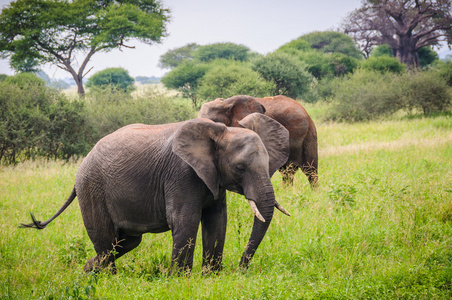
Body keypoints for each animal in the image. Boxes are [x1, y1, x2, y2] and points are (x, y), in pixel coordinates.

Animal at [20, 113, 290, 274]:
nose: (241, 269)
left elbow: (217, 220)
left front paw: (211, 277)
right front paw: (182, 280)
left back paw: (87, 271)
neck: (220, 131)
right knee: (106, 241)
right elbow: (185, 221)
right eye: (240, 168)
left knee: (126, 242)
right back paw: (107, 280)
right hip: (92, 188)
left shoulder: (213, 178)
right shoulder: (181, 174)